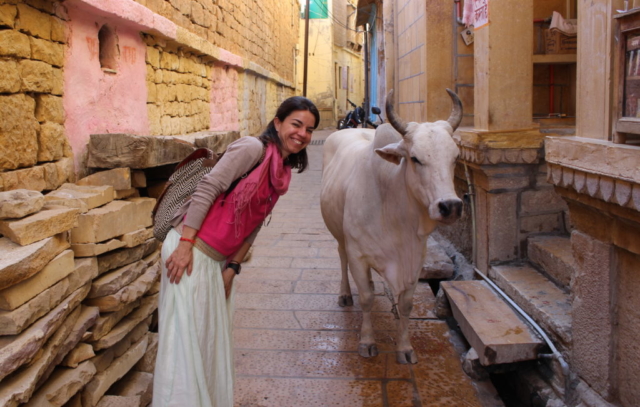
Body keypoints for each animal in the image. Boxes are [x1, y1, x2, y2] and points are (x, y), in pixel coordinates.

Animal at [322, 88, 462, 364]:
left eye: (455, 158)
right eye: (415, 159)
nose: (450, 206)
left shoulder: (416, 258)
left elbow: (406, 305)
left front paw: (405, 348)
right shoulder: (358, 254)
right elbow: (365, 299)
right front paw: (367, 342)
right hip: (340, 236)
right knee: (341, 259)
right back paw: (345, 294)